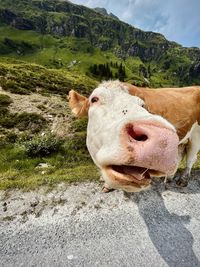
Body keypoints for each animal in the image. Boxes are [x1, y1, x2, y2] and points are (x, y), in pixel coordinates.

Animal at [67, 80, 200, 193]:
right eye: (94, 99)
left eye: (142, 105)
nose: (162, 138)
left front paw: (107, 185)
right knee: (180, 153)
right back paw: (170, 177)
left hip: (196, 135)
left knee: (191, 157)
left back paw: (183, 180)